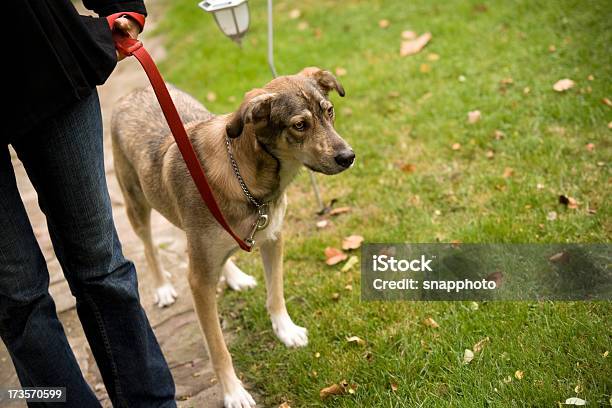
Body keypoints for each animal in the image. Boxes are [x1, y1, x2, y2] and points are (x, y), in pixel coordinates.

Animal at [111, 68, 354, 406]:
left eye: (329, 111)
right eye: (300, 125)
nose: (349, 156)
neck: (250, 179)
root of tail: (132, 93)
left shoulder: (273, 239)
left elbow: (275, 294)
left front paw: (286, 331)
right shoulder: (198, 282)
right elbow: (218, 348)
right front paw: (233, 392)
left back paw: (234, 276)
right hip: (135, 204)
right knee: (148, 246)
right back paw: (162, 287)